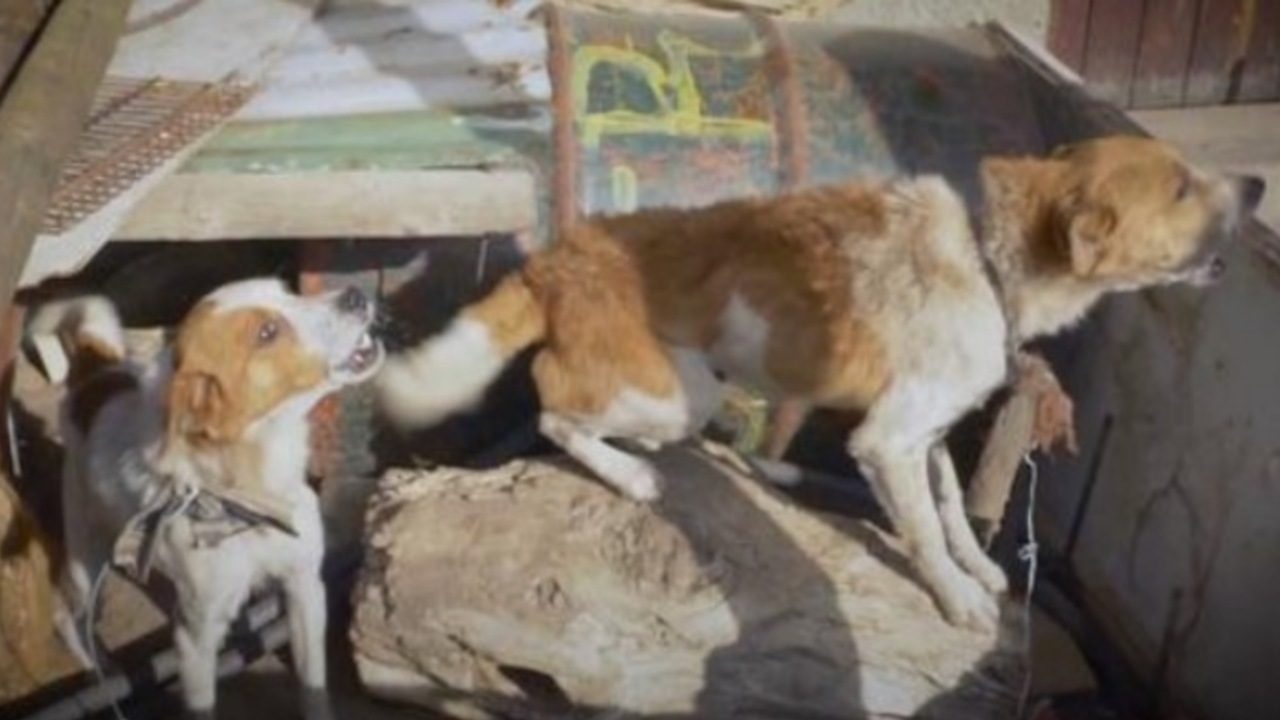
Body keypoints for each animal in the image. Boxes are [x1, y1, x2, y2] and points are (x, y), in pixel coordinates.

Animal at [28, 278, 378, 712]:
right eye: (267, 333)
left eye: (287, 291)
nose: (356, 294)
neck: (251, 497)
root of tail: (94, 378)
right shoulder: (194, 637)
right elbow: (202, 704)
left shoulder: (306, 588)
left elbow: (313, 689)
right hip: (85, 558)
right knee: (67, 619)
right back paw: (102, 676)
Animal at [373, 135, 1264, 627]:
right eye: (1181, 185)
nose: (1259, 184)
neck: (988, 264)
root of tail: (557, 258)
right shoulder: (889, 441)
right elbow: (925, 531)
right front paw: (956, 597)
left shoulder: (927, 435)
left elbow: (952, 509)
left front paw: (977, 570)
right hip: (680, 390)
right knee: (556, 411)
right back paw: (632, 473)